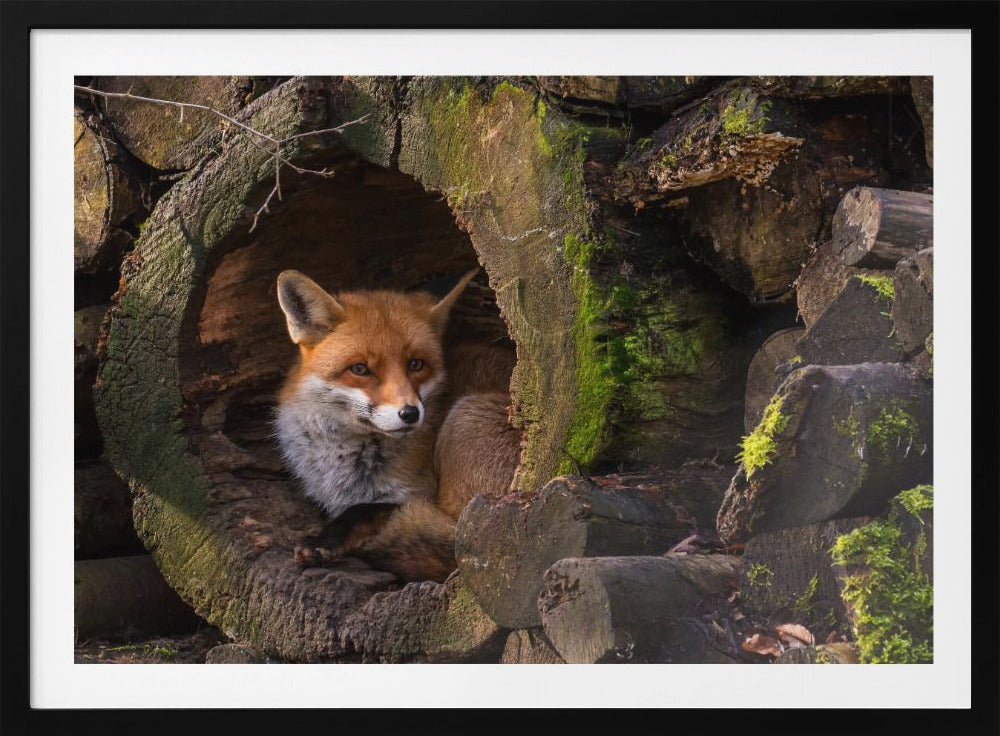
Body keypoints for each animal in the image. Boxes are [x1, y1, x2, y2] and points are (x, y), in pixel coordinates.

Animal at [274, 267, 521, 583]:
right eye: (360, 369)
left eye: (416, 364)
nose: (410, 413)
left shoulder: (417, 495)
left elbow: (364, 510)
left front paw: (324, 540)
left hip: (465, 425)